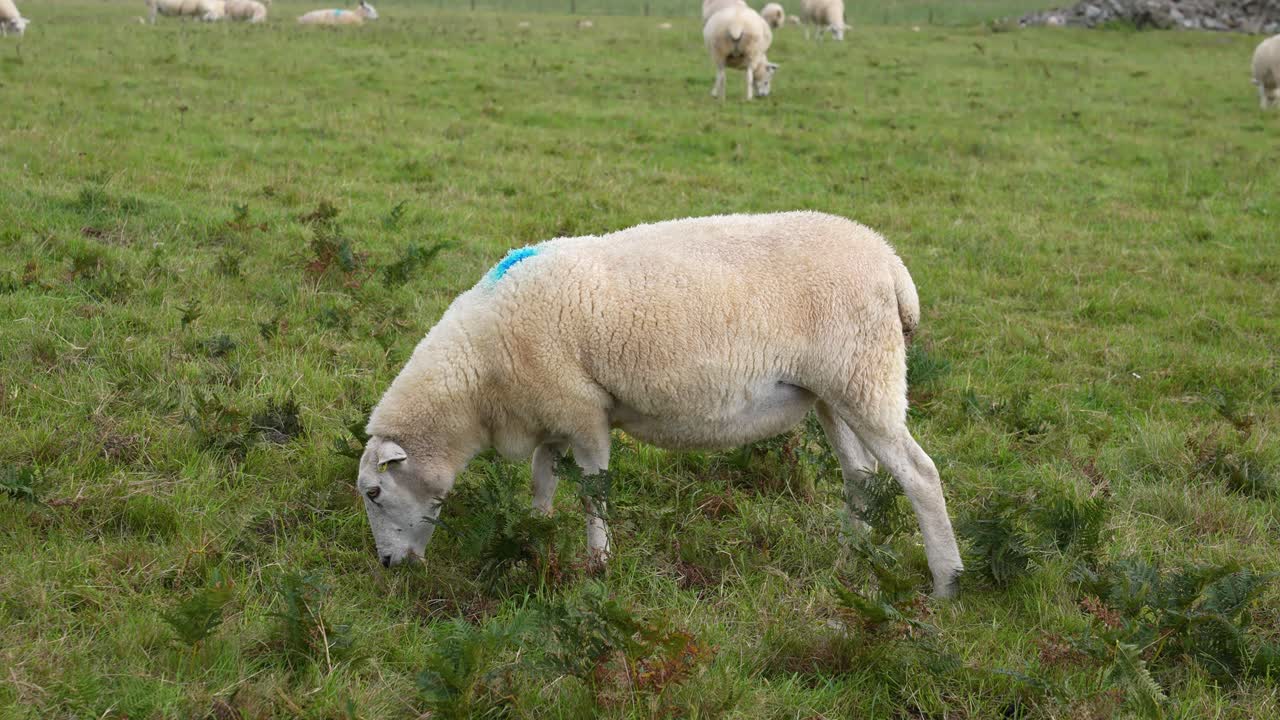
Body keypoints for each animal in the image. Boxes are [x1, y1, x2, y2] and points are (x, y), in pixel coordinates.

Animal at [356, 211, 965, 598]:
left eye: (375, 492)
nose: (386, 565)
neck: (479, 382)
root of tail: (891, 264)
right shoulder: (550, 411)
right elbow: (542, 482)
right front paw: (535, 535)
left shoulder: (585, 414)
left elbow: (593, 494)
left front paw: (599, 565)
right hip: (834, 393)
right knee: (860, 475)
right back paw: (848, 560)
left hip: (865, 376)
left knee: (919, 475)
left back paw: (946, 583)